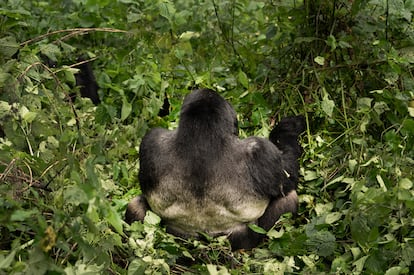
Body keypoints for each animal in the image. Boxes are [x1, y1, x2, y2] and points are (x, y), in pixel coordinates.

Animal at [124, 89, 306, 250]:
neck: (201, 133)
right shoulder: (262, 151)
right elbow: (289, 178)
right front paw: (289, 128)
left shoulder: (150, 141)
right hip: (243, 242)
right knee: (288, 198)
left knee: (135, 205)